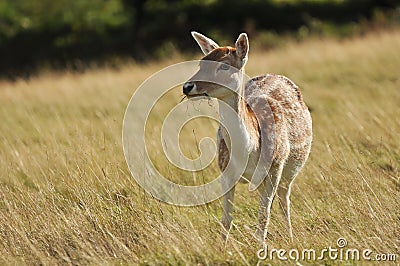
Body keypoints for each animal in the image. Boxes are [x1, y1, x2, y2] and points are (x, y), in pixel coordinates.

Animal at [182, 31, 312, 243]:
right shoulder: (224, 169)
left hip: (292, 168)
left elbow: (264, 215)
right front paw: (222, 247)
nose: (187, 86)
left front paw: (261, 247)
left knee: (284, 199)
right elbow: (226, 219)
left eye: (225, 65)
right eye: (201, 62)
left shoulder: (275, 168)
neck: (249, 150)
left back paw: (290, 237)